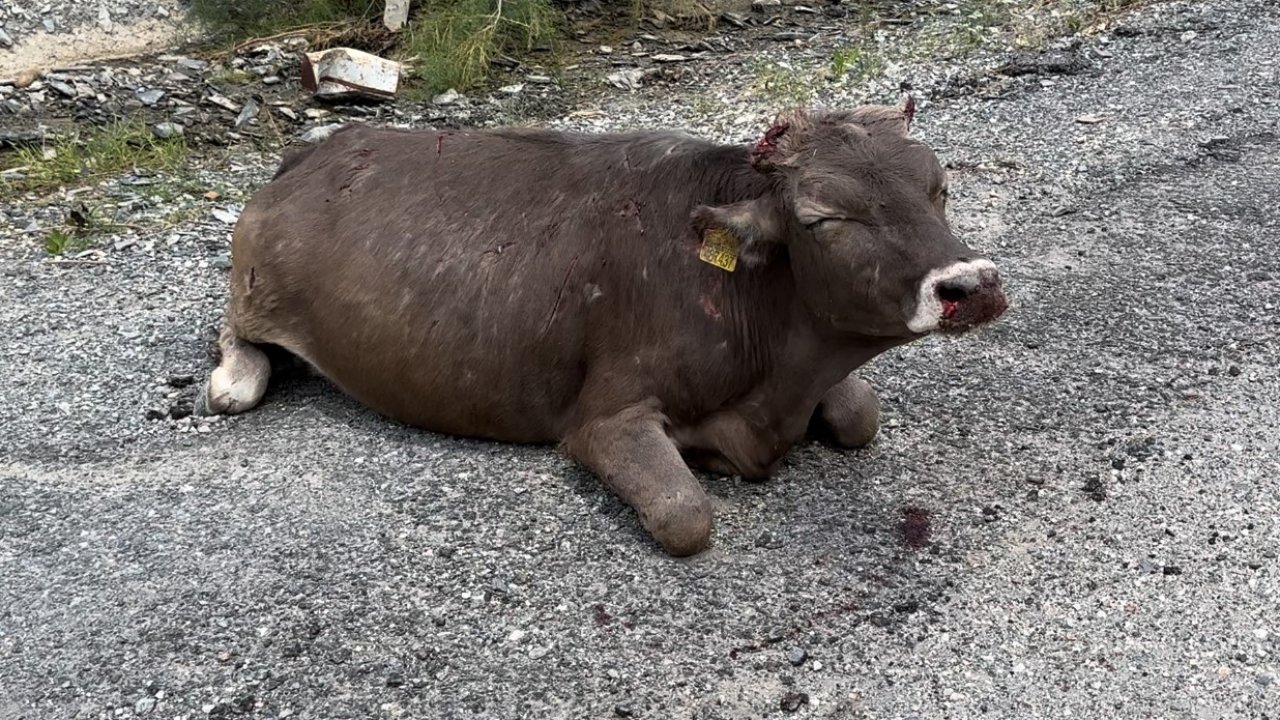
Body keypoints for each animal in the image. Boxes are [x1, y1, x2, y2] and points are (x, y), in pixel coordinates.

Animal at [197, 95, 1008, 556]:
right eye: (822, 217)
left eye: (939, 187)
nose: (970, 285)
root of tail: (315, 148)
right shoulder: (604, 414)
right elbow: (685, 516)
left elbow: (861, 414)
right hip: (255, 276)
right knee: (234, 331)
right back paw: (235, 378)